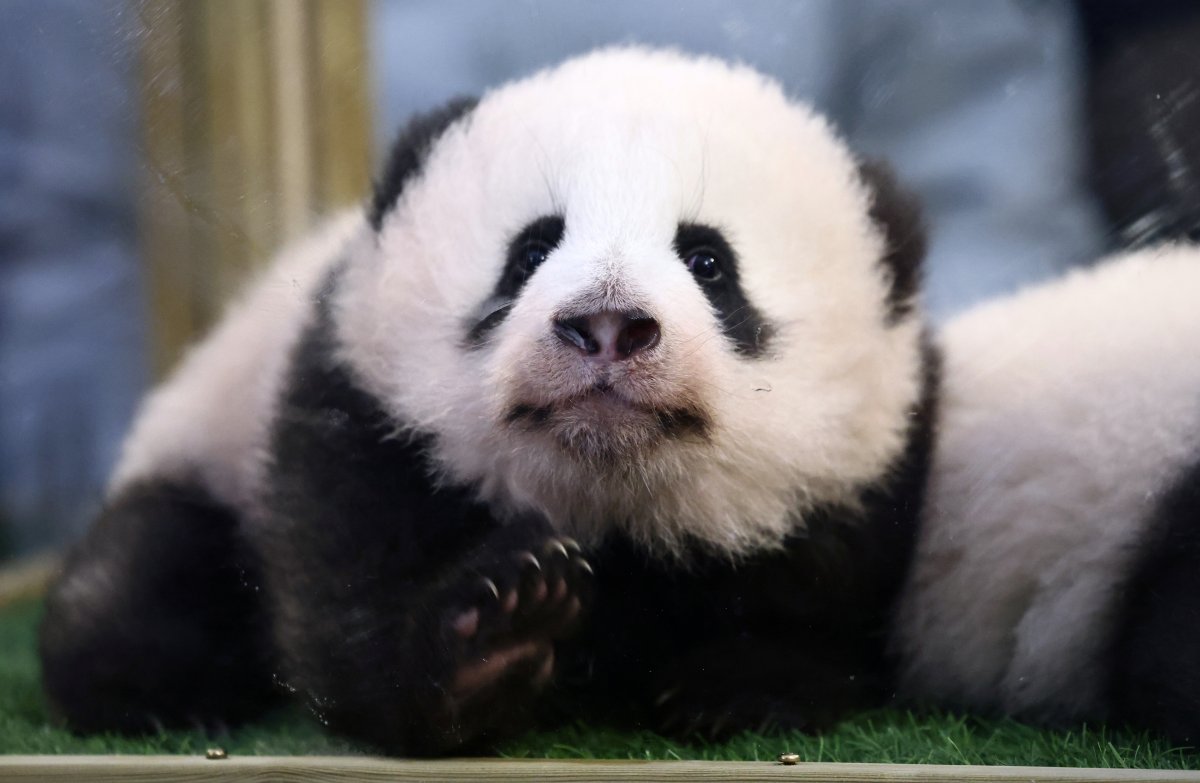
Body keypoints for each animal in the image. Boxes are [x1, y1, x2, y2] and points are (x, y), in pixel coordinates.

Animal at [39, 48, 936, 755]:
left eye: (710, 262)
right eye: (531, 250)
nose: (606, 323)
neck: (610, 503)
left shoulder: (867, 461)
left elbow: (835, 587)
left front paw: (740, 684)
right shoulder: (357, 404)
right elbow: (343, 602)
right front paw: (498, 630)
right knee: (142, 574)